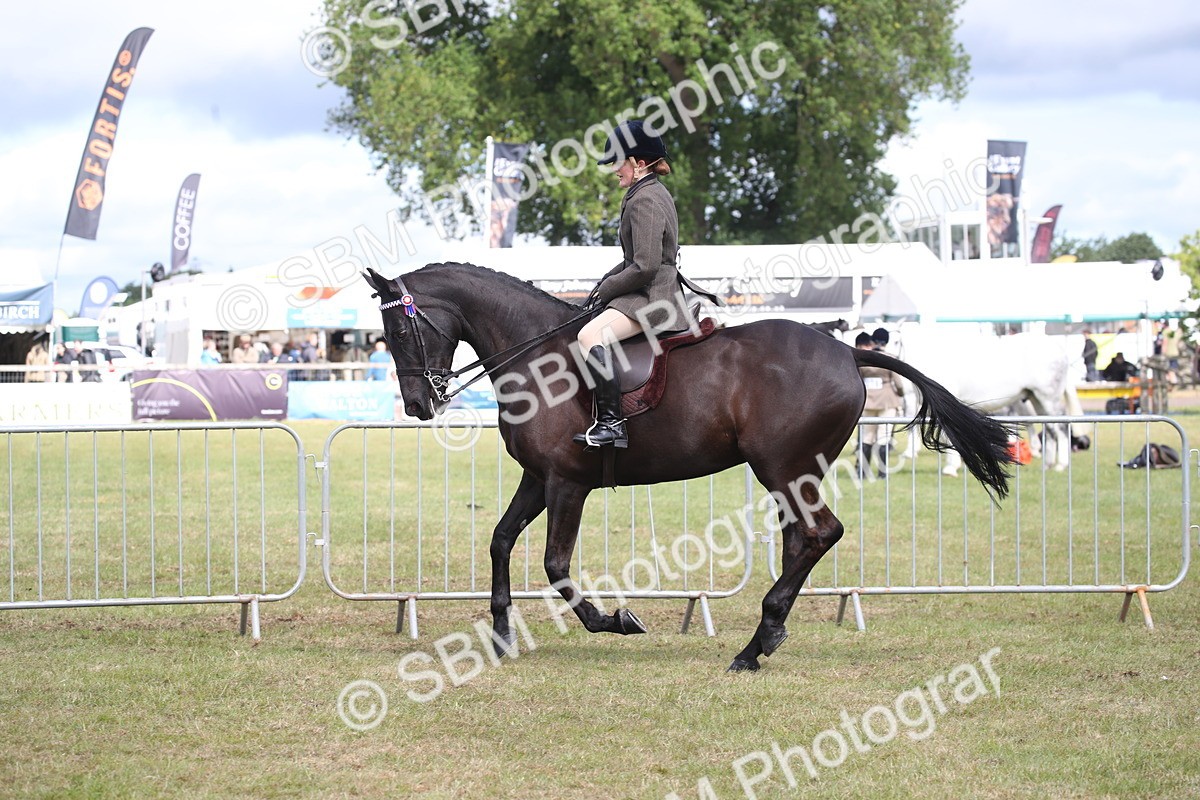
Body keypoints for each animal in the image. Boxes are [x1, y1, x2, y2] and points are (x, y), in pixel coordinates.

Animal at [363, 263, 1012, 672]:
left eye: (398, 329)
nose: (418, 405)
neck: (537, 355)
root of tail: (848, 350)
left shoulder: (568, 483)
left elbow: (555, 565)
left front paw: (615, 620)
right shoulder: (537, 478)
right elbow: (500, 540)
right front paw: (499, 634)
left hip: (783, 467)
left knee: (819, 533)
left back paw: (753, 646)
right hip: (791, 475)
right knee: (801, 539)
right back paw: (766, 636)